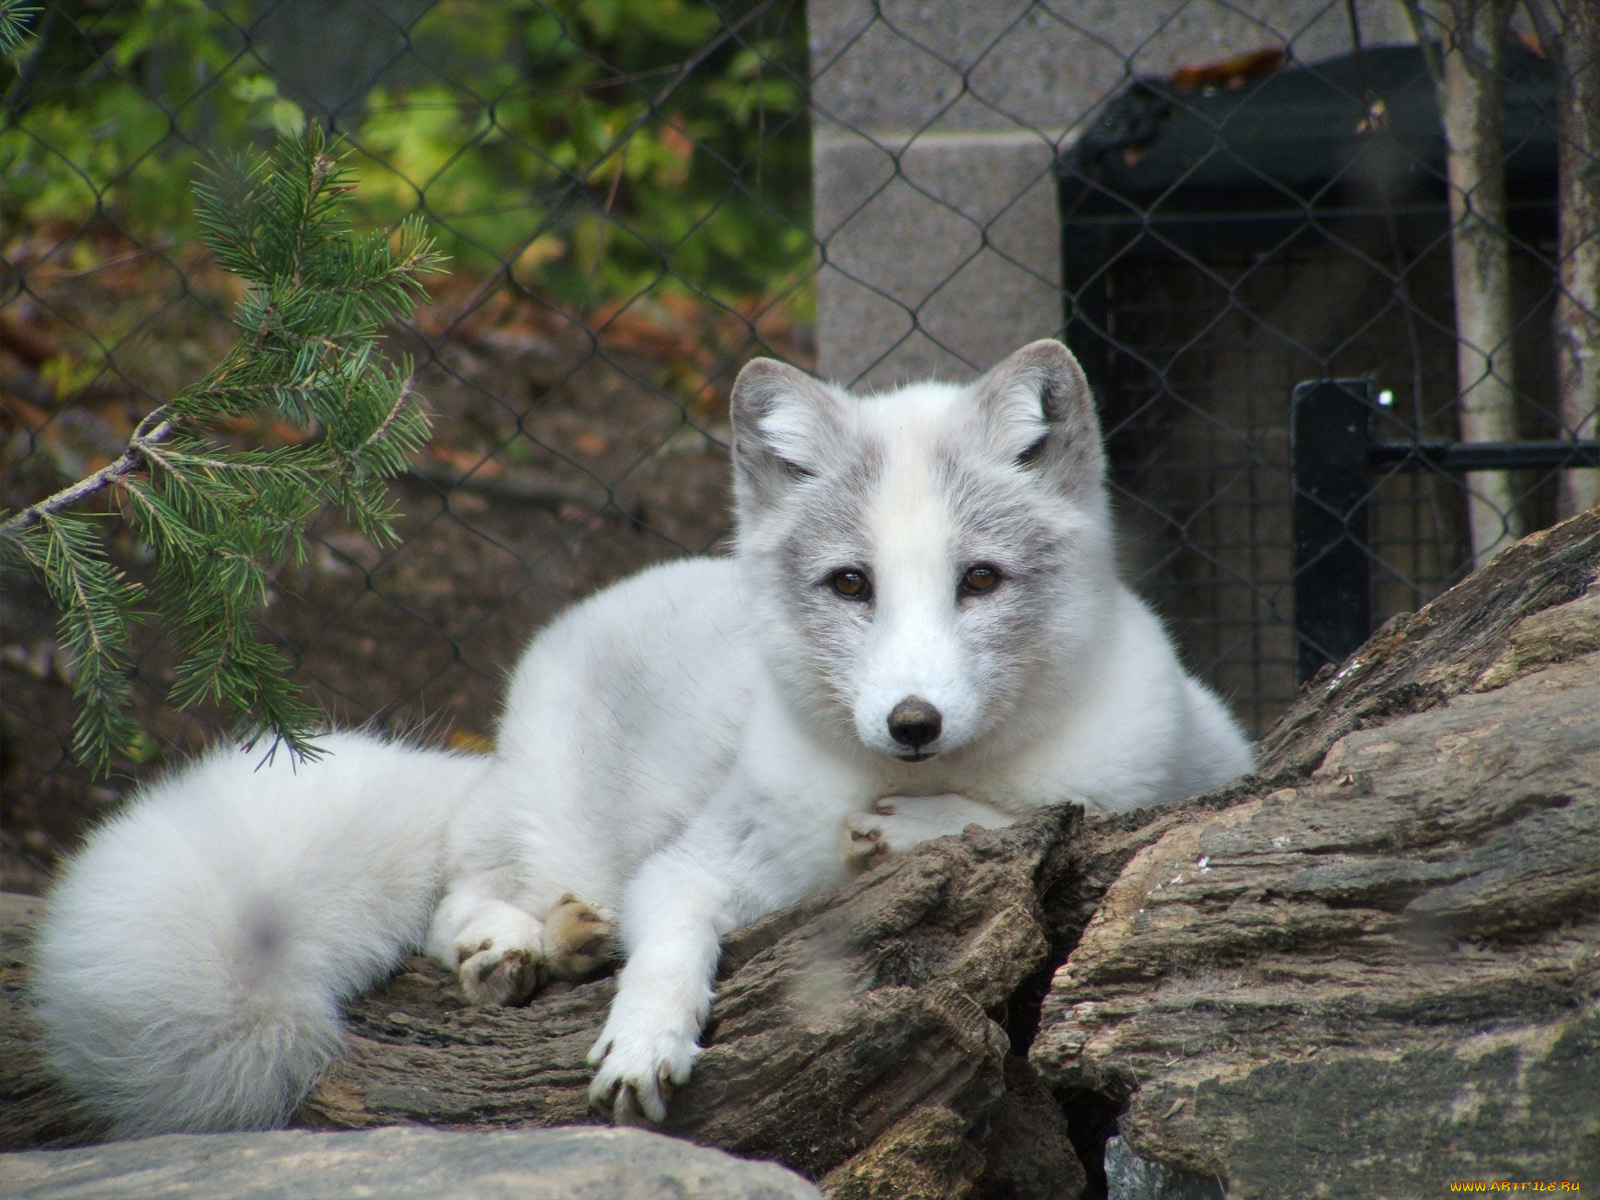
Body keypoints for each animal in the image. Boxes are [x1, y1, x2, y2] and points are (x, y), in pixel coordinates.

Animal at [32, 339, 1254, 1136]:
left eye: (982, 581)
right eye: (850, 585)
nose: (911, 722)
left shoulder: (1184, 773)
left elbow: (1058, 810)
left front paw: (914, 828)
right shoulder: (702, 859)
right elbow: (670, 939)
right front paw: (645, 1039)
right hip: (545, 815)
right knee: (456, 896)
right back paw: (518, 944)